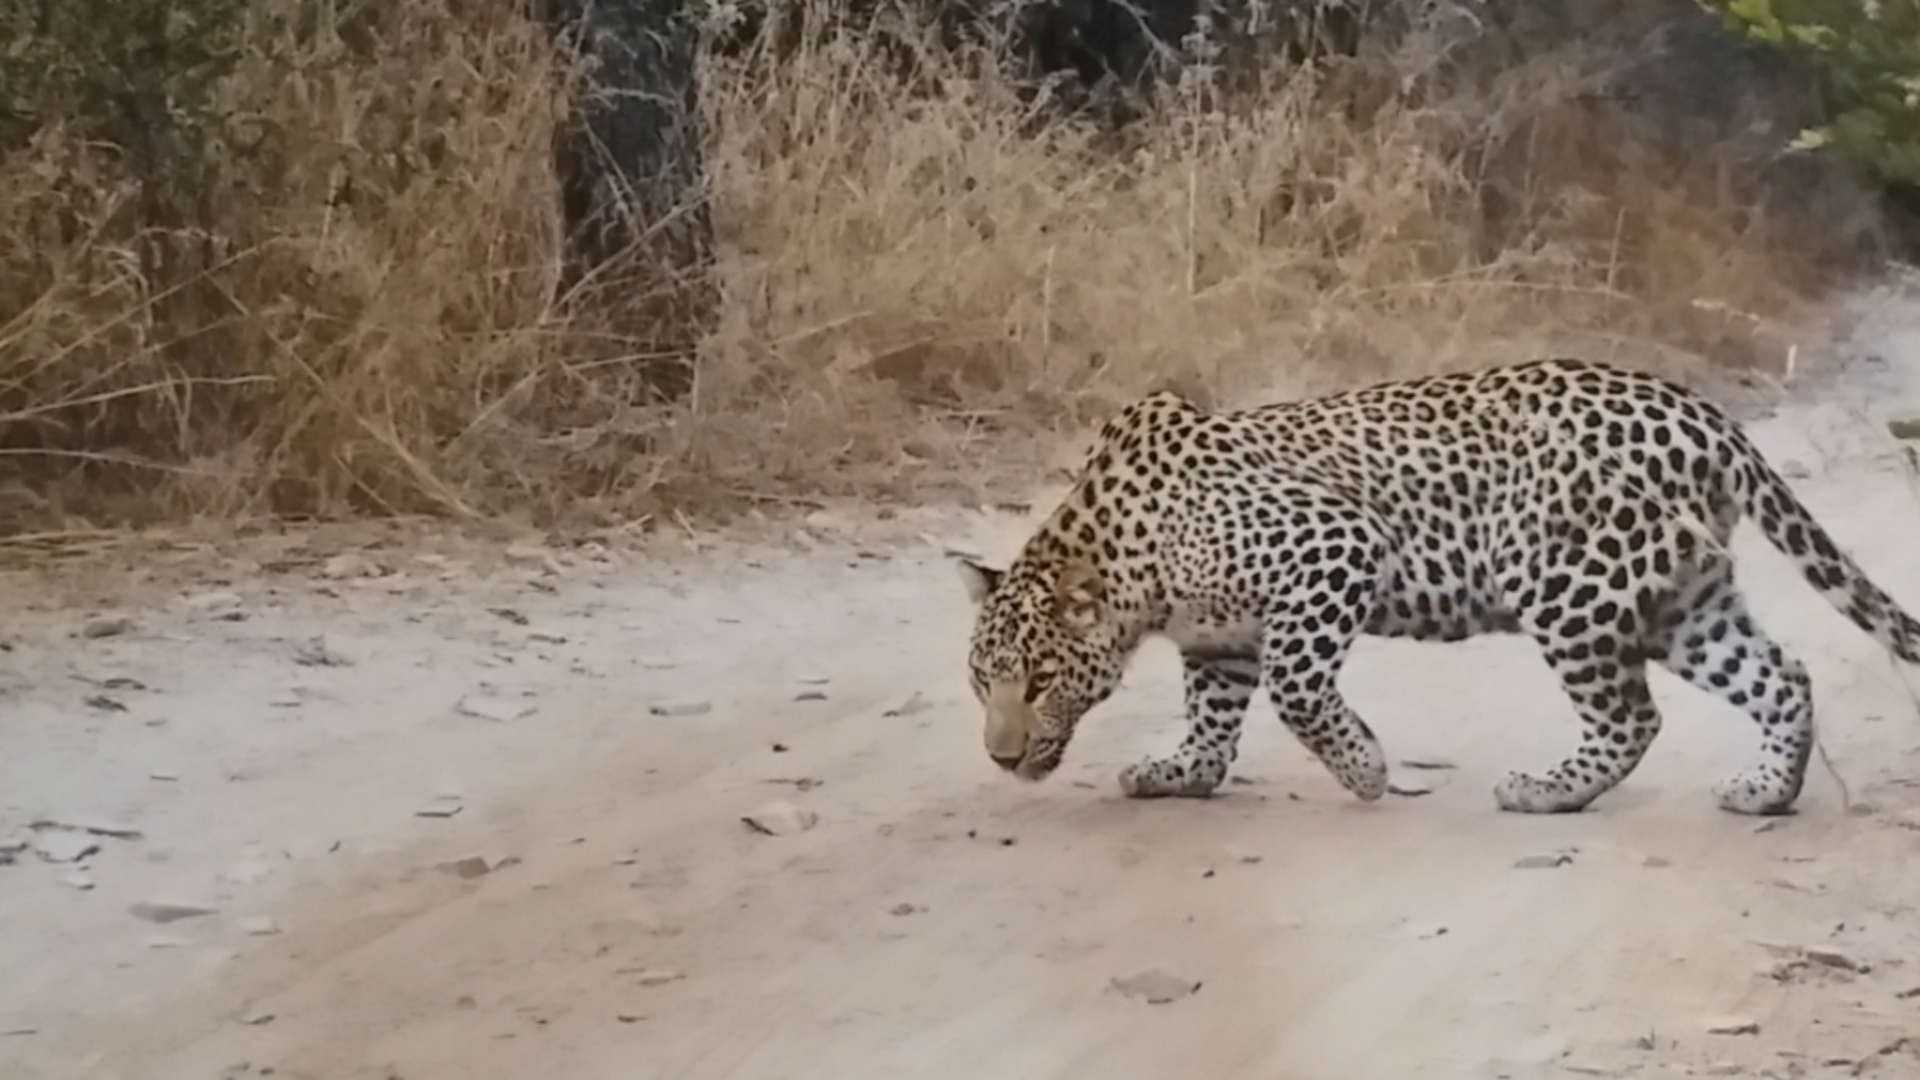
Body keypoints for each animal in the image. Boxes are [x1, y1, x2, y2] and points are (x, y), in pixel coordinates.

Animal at [956, 357, 1920, 810]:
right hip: (1685, 597)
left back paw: (1548, 791)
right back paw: (1767, 793)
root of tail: (1702, 412)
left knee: (1631, 715)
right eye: (979, 683)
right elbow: (1213, 713)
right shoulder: (1218, 636)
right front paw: (1182, 772)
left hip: (1572, 584)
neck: (1122, 557)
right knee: (1781, 675)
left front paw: (1365, 766)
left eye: (1038, 682)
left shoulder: (1334, 545)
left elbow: (1296, 688)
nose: (998, 757)